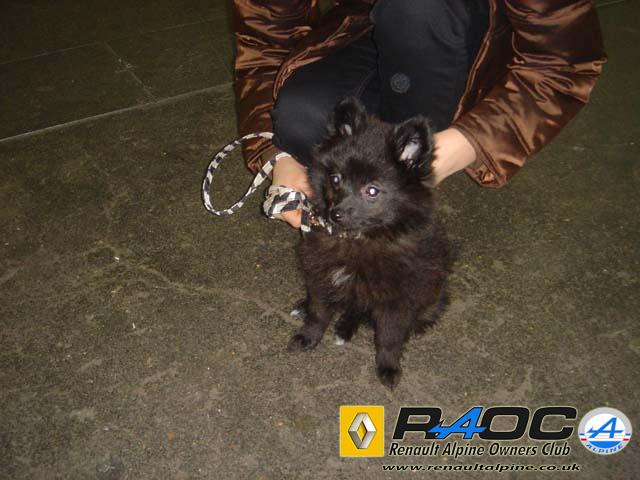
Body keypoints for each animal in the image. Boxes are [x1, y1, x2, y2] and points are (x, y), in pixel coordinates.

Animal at [288, 97, 451, 388]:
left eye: (372, 190)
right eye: (335, 179)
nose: (335, 213)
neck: (362, 238)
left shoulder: (398, 298)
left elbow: (389, 337)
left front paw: (388, 367)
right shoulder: (321, 274)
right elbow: (319, 312)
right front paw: (308, 336)